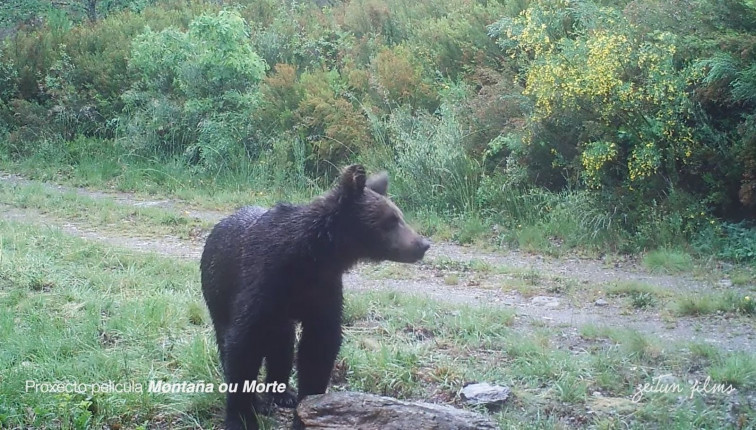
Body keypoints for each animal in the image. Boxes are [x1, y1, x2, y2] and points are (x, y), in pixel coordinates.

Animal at [199, 165, 432, 430]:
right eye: (390, 221)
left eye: (399, 216)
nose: (423, 244)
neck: (311, 257)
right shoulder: (261, 284)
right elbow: (242, 347)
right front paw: (242, 416)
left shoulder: (323, 290)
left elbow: (319, 347)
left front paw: (307, 410)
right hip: (217, 293)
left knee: (282, 343)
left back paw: (282, 392)